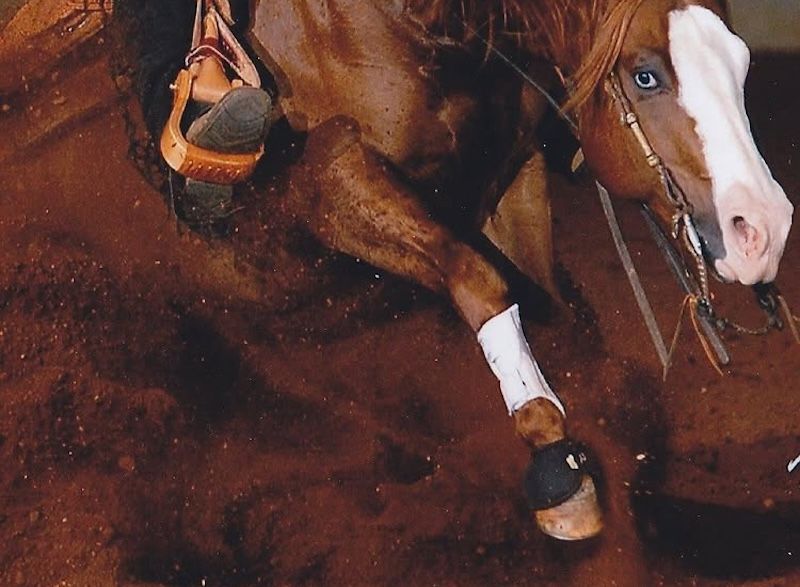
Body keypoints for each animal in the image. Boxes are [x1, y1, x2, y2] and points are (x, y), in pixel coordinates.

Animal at [240, 0, 793, 540]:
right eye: (645, 76)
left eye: (741, 62)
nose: (764, 229)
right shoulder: (328, 176)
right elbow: (480, 278)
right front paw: (554, 457)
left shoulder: (513, 174)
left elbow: (559, 314)